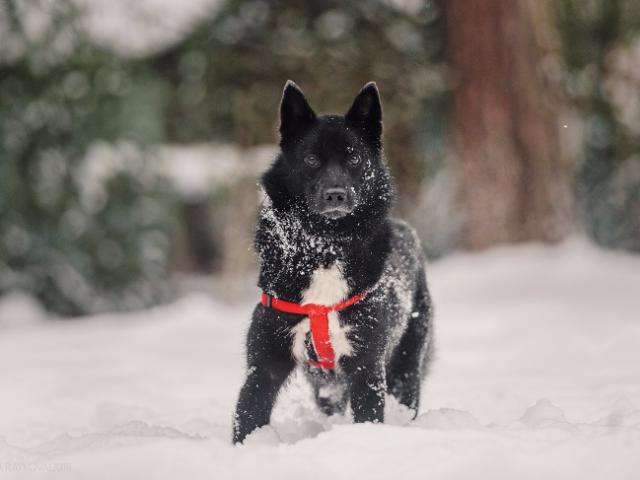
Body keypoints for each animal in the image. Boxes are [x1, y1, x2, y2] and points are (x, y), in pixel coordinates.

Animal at [232, 80, 432, 444]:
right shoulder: (265, 363)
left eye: (353, 157)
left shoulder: (367, 367)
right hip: (325, 386)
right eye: (311, 159)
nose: (336, 194)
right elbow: (249, 414)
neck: (325, 247)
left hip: (406, 365)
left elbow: (369, 416)